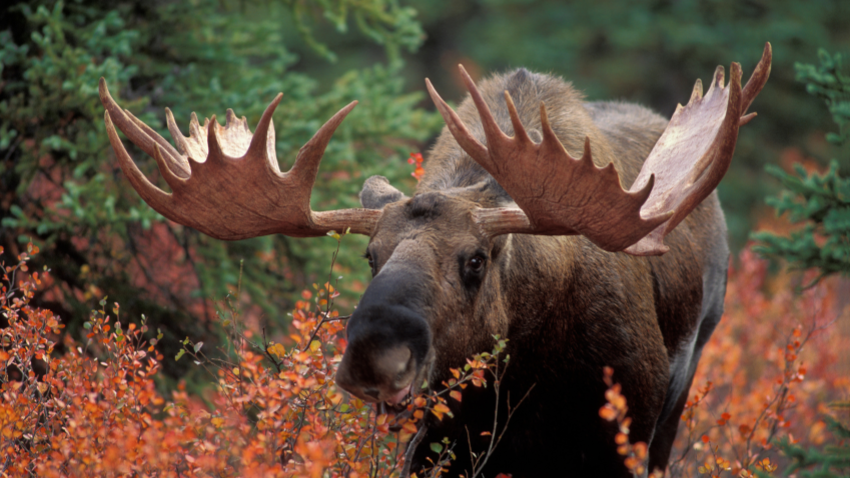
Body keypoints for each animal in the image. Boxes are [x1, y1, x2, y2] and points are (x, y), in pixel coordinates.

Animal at [97, 43, 768, 476]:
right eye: (370, 255)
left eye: (476, 260)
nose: (375, 354)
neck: (525, 375)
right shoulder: (436, 442)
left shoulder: (628, 428)